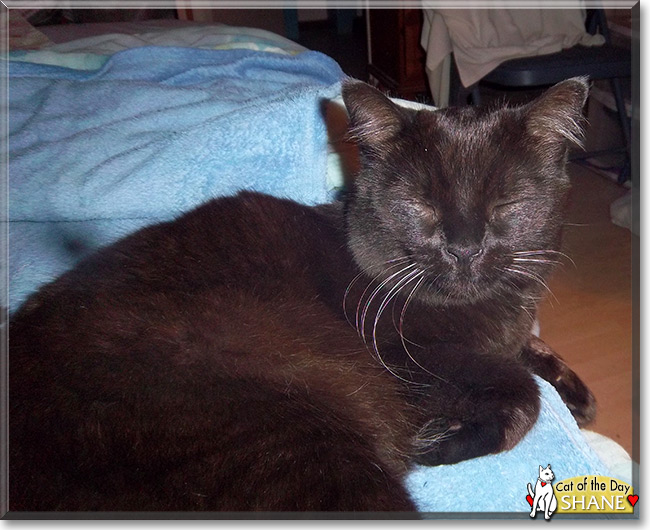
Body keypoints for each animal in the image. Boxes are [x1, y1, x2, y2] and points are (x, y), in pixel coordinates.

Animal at [7, 76, 592, 510]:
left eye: (507, 206)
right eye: (421, 206)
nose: (465, 249)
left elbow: (530, 353)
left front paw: (575, 390)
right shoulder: (403, 352)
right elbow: (522, 391)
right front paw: (440, 440)